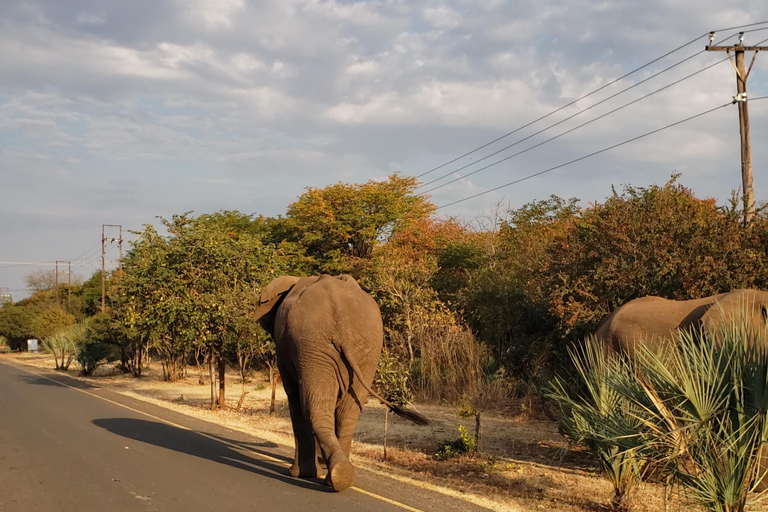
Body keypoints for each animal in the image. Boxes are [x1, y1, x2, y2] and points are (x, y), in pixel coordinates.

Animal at [255, 276, 428, 492]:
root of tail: (342, 325)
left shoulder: (285, 349)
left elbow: (294, 397)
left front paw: (298, 474)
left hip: (313, 344)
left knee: (314, 406)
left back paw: (329, 474)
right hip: (360, 349)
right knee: (347, 410)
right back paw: (339, 476)